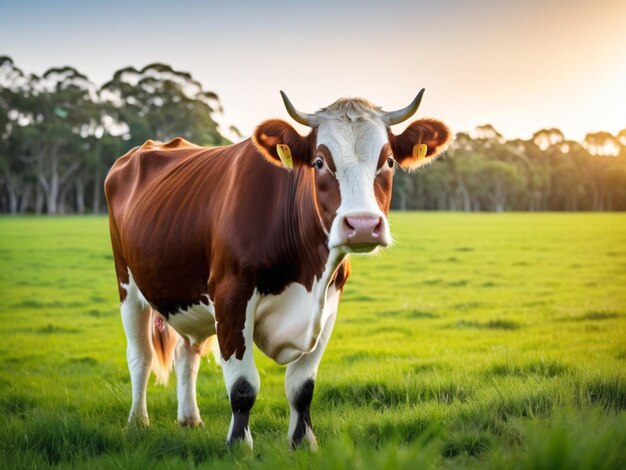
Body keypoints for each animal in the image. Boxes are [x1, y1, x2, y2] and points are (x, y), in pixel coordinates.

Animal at [106, 91, 448, 448]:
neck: (305, 274)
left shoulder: (329, 302)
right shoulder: (231, 296)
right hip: (127, 284)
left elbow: (302, 387)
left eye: (389, 161)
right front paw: (239, 446)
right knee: (140, 356)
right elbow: (243, 386)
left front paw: (303, 443)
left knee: (188, 352)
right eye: (319, 162)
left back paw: (189, 419)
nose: (363, 225)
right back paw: (138, 421)